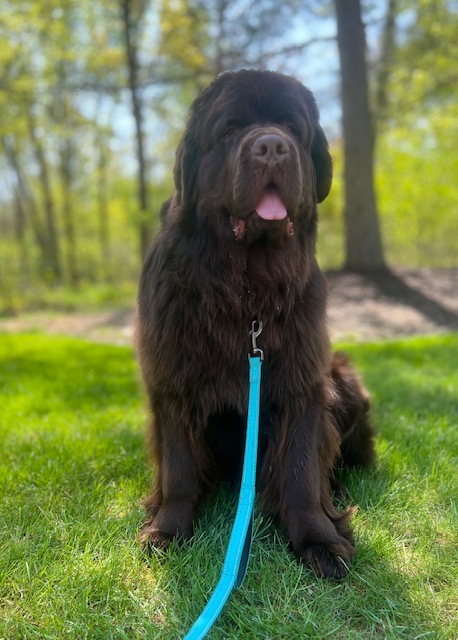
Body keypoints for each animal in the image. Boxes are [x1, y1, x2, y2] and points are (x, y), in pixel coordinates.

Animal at [135, 70, 372, 580]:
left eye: (291, 128)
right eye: (229, 129)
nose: (271, 147)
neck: (245, 292)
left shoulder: (302, 382)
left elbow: (301, 468)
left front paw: (318, 538)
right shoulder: (172, 381)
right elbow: (179, 467)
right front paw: (166, 529)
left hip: (343, 379)